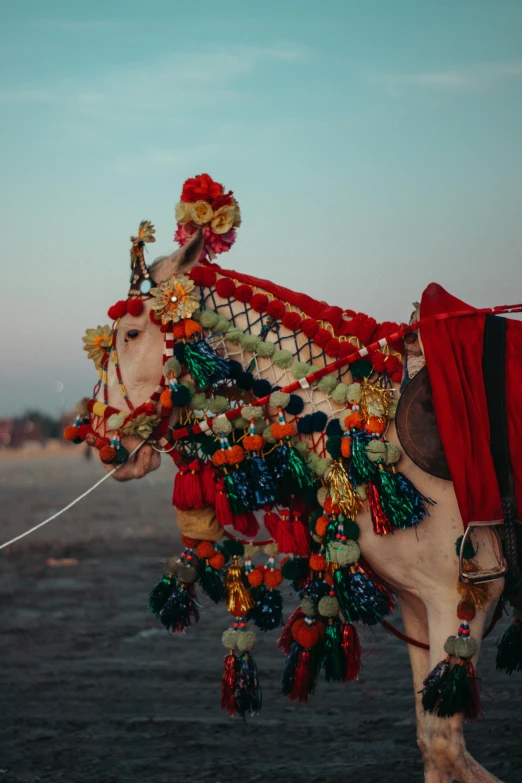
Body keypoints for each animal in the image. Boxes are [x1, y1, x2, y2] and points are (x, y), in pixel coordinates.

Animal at [65, 175, 520, 780]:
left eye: (133, 332)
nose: (100, 437)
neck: (363, 418)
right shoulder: (419, 605)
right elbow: (434, 746)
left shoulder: (465, 592)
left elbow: (445, 747)